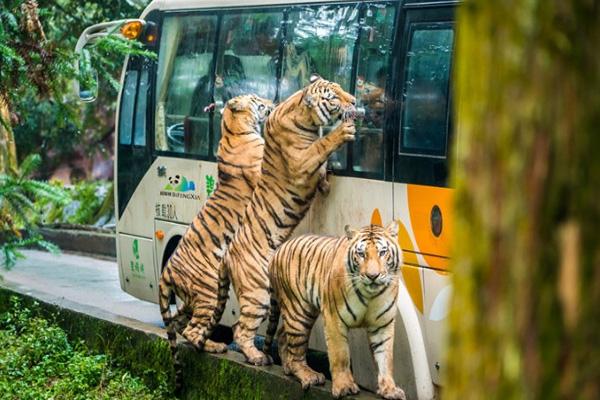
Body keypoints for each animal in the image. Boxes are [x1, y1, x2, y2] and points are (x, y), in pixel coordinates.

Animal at [158, 94, 274, 360]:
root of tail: (167, 272)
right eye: (257, 100)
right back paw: (215, 346)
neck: (232, 130)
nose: (273, 102)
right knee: (192, 329)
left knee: (180, 325)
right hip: (209, 291)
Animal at [213, 76, 358, 366]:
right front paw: (343, 132)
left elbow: (322, 171)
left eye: (340, 88)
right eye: (334, 96)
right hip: (257, 292)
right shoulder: (302, 161)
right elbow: (322, 147)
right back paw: (258, 357)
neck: (306, 117)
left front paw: (326, 182)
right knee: (240, 329)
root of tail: (227, 256)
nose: (355, 100)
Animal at [266, 223, 404, 398]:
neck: (370, 295)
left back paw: (288, 368)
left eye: (382, 252)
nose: (372, 276)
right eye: (361, 254)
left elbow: (385, 357)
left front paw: (390, 389)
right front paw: (344, 386)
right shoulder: (334, 318)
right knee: (296, 350)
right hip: (298, 312)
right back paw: (309, 376)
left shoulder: (383, 324)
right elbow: (340, 355)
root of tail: (278, 250)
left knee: (283, 335)